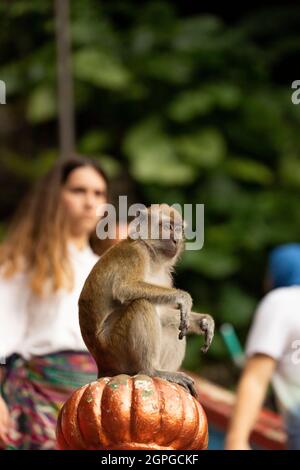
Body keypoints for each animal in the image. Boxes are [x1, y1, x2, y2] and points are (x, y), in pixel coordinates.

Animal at [78, 203, 214, 396]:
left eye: (179, 229)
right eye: (169, 227)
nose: (176, 240)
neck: (152, 256)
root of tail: (102, 365)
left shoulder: (165, 274)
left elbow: (164, 314)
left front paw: (204, 321)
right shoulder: (135, 254)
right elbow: (124, 288)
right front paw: (184, 298)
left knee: (175, 326)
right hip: (115, 349)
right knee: (142, 304)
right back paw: (152, 371)